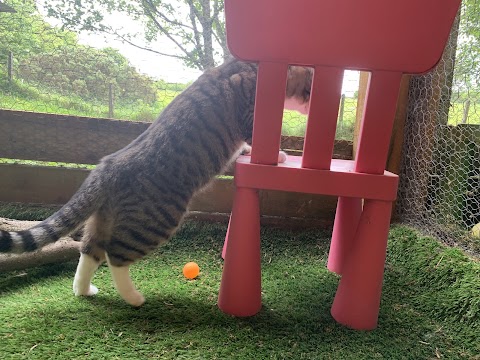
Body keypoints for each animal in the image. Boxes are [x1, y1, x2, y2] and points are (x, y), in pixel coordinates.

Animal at [0, 59, 314, 306]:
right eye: (310, 89)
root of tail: (108, 167)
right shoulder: (249, 114)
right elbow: (260, 141)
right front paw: (280, 155)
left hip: (104, 219)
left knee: (89, 250)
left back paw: (84, 290)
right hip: (155, 221)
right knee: (115, 255)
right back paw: (133, 298)